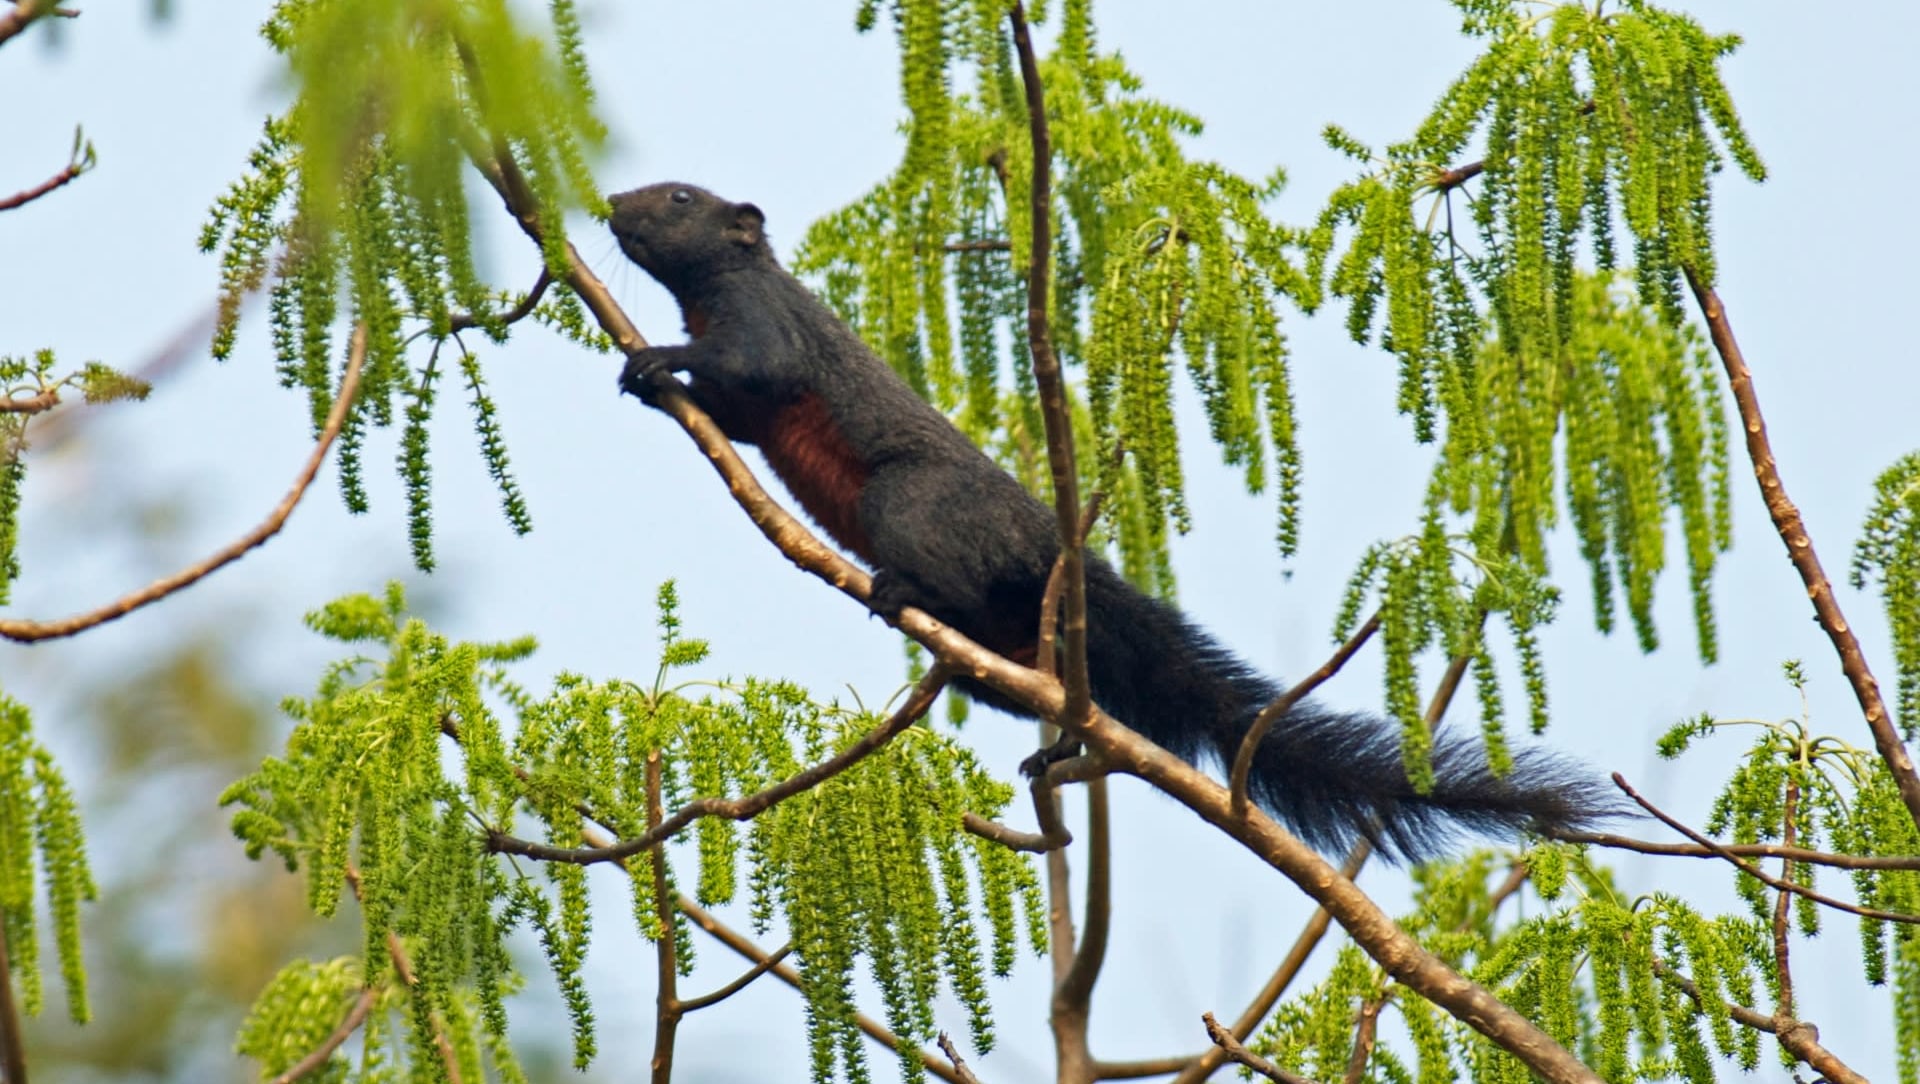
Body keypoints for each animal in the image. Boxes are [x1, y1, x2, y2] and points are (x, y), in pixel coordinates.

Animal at [610, 181, 1614, 862]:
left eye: (681, 197)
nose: (614, 205)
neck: (713, 288)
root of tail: (1052, 547)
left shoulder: (763, 326)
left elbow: (757, 370)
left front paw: (655, 358)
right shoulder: (750, 399)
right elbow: (738, 413)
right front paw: (647, 378)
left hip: (912, 503)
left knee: (943, 570)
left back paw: (904, 592)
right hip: (1018, 645)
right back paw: (1054, 748)